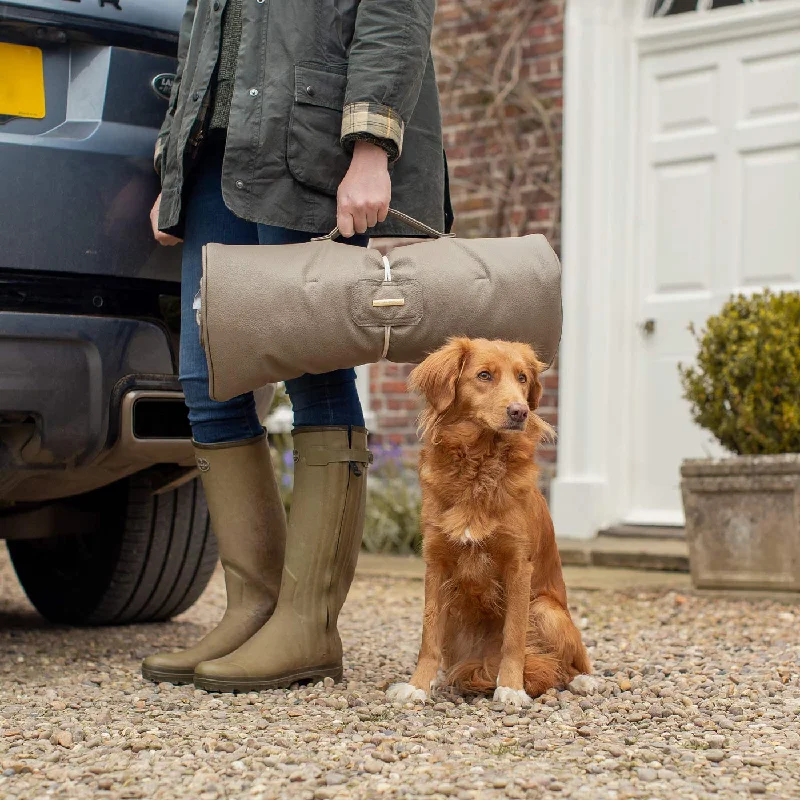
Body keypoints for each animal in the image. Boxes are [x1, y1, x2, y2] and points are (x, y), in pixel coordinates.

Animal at [384, 338, 592, 708]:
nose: (520, 411)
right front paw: (418, 686)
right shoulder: (435, 563)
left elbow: (514, 637)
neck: (478, 467)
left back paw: (582, 681)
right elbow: (428, 637)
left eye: (523, 378)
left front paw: (510, 687)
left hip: (545, 609)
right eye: (484, 375)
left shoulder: (518, 565)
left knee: (567, 664)